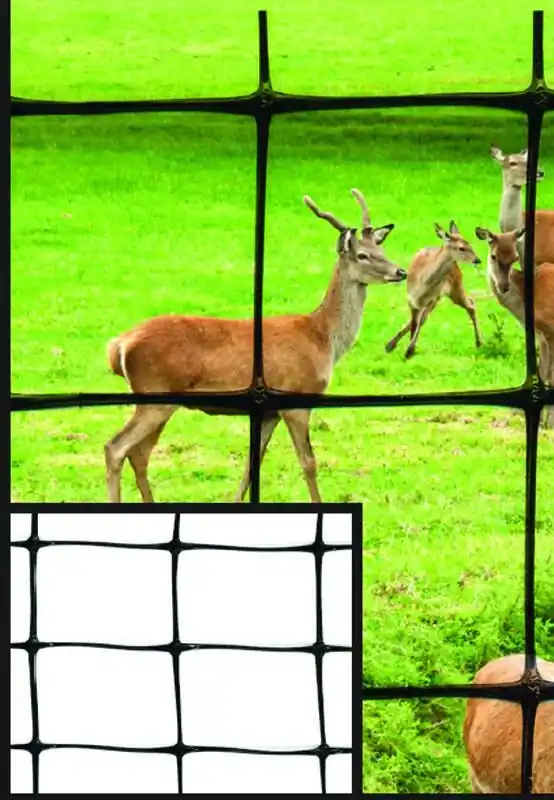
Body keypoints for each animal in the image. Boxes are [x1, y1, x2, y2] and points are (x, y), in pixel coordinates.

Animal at [104, 189, 407, 503]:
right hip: (156, 392)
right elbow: (308, 462)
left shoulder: (268, 412)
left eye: (382, 250)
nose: (401, 271)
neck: (323, 338)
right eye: (362, 255)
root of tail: (119, 345)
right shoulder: (296, 395)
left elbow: (252, 465)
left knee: (139, 453)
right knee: (116, 447)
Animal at [384, 221, 482, 359]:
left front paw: (410, 351)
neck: (423, 284)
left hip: (455, 288)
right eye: (461, 248)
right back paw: (390, 345)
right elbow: (414, 321)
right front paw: (407, 349)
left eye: (470, 244)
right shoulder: (411, 299)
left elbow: (420, 321)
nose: (477, 259)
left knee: (471, 304)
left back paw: (479, 342)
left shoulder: (434, 298)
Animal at [475, 226, 554, 428]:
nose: (504, 286)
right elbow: (542, 373)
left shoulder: (550, 330)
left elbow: (550, 375)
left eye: (515, 257)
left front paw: (549, 423)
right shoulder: (542, 336)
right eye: (493, 255)